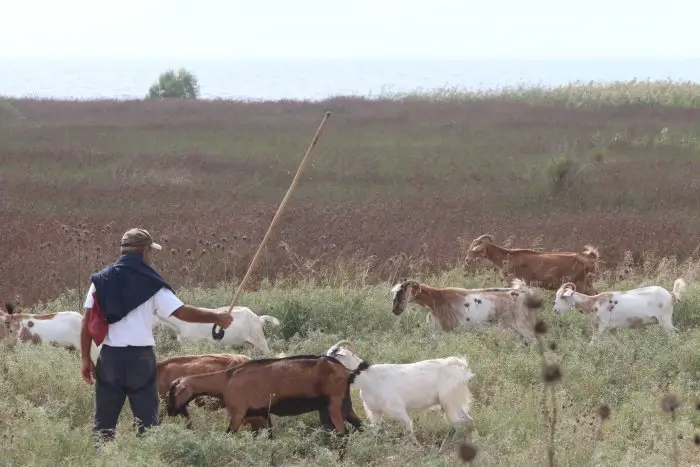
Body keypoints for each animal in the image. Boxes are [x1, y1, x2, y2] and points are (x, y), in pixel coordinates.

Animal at [167, 354, 364, 436]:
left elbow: (228, 434)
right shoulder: (259, 415)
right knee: (360, 426)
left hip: (334, 406)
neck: (227, 379)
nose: (170, 411)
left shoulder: (238, 413)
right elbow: (267, 438)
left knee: (343, 434)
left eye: (173, 393)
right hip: (343, 405)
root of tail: (347, 372)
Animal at [328, 342, 476, 452]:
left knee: (457, 423)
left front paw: (418, 450)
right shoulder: (375, 413)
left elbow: (409, 427)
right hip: (455, 402)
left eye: (331, 357)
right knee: (468, 420)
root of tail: (463, 370)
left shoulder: (398, 410)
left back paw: (444, 448)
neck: (368, 379)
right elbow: (375, 431)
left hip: (449, 402)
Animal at [392, 278, 544, 340]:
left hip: (525, 327)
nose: (395, 310)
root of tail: (524, 293)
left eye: (400, 292)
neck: (438, 300)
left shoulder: (448, 331)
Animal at [464, 234, 600, 296]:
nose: (467, 260)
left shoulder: (512, 280)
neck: (507, 256)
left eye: (476, 250)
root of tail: (589, 260)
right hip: (586, 283)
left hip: (578, 284)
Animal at [548, 280, 688, 342]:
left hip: (665, 320)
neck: (592, 303)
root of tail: (671, 294)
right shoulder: (612, 329)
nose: (555, 310)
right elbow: (618, 343)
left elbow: (592, 344)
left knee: (674, 333)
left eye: (562, 297)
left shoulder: (600, 327)